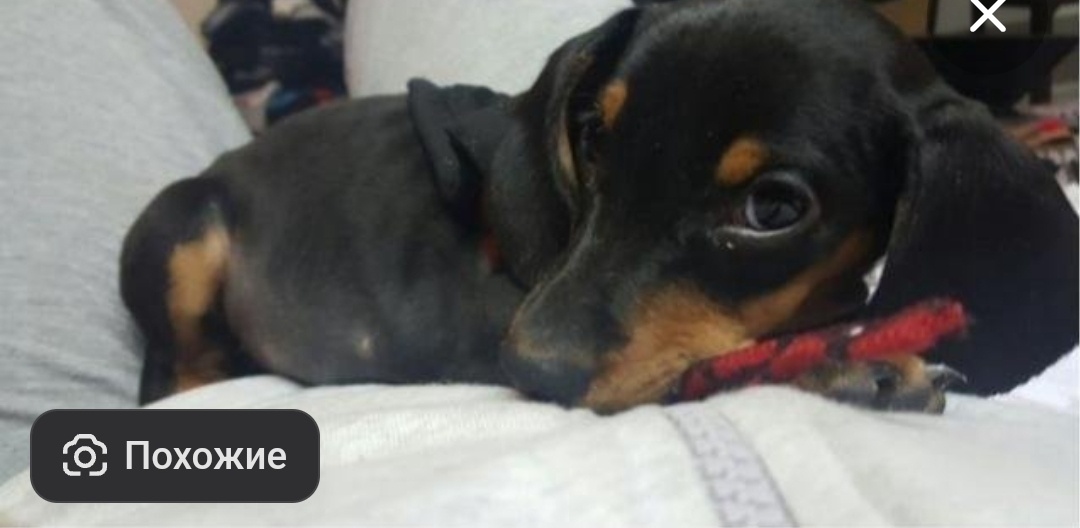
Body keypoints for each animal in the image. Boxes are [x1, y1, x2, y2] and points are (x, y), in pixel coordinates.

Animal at [121, 0, 1078, 412]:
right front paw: (844, 361)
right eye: (591, 136)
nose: (529, 372)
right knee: (177, 370)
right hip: (182, 234)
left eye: (774, 208)